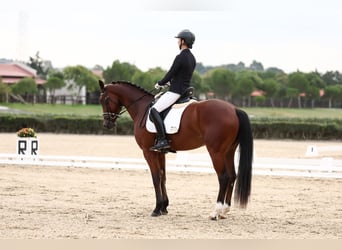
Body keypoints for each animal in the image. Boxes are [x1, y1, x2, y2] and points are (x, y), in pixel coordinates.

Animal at [97, 80, 252, 219]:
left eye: (104, 99)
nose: (106, 124)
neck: (142, 108)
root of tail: (234, 109)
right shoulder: (160, 152)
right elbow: (163, 176)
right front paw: (164, 207)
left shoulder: (148, 151)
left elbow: (155, 178)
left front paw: (156, 209)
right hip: (229, 151)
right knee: (232, 176)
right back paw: (225, 211)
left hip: (216, 152)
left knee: (223, 177)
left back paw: (215, 212)